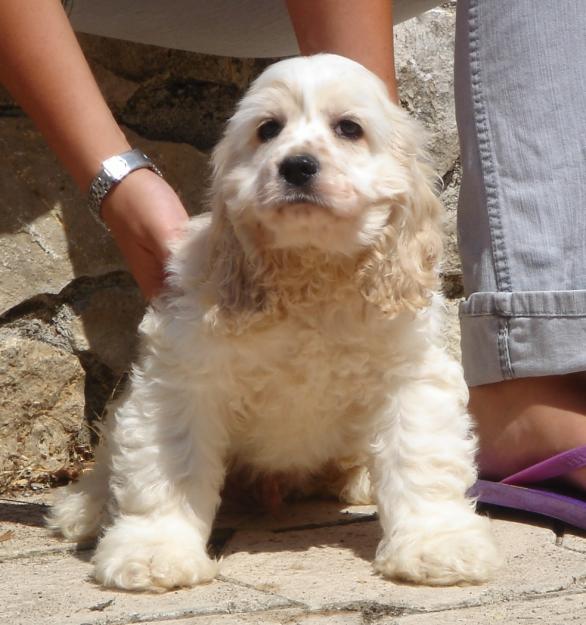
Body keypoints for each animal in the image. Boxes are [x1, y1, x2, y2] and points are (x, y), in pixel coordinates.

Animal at [49, 53, 498, 588]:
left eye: (349, 128)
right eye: (268, 130)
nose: (297, 165)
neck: (310, 273)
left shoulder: (411, 374)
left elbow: (419, 457)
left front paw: (437, 544)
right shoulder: (181, 379)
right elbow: (171, 465)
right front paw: (154, 551)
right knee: (108, 461)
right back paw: (85, 508)